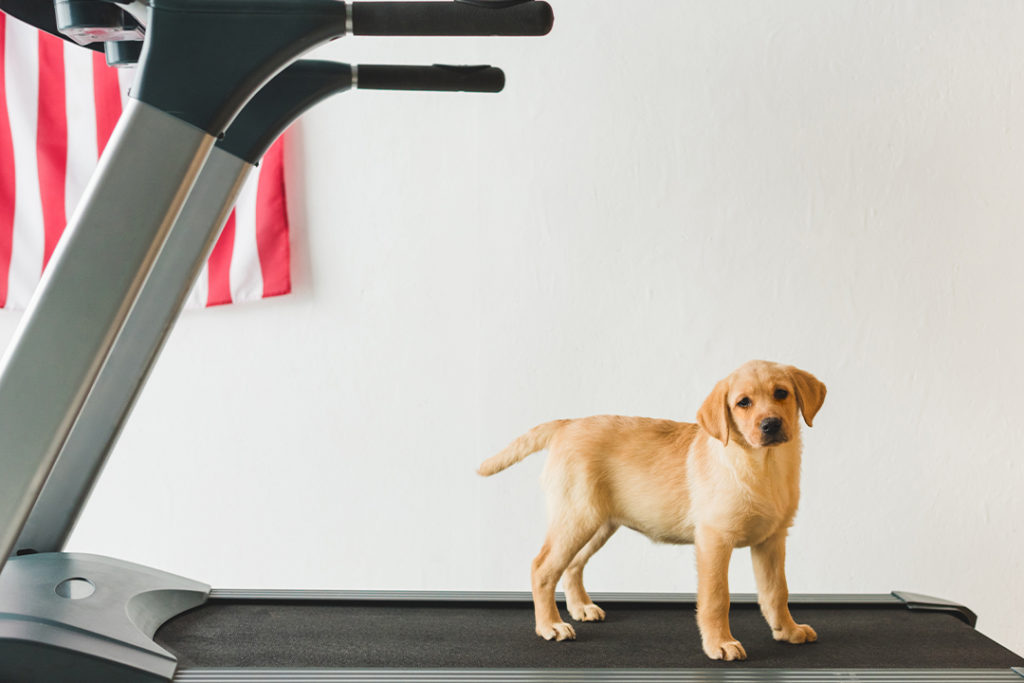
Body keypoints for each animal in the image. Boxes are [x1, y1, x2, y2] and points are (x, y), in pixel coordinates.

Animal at [477, 360, 823, 659]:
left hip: (597, 523)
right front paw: (720, 643)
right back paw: (549, 625)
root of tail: (567, 424)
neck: (764, 466)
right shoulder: (714, 540)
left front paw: (787, 630)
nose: (771, 425)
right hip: (576, 517)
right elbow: (716, 597)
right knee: (542, 567)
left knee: (572, 565)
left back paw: (580, 608)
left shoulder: (772, 540)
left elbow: (777, 591)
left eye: (782, 393)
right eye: (743, 403)